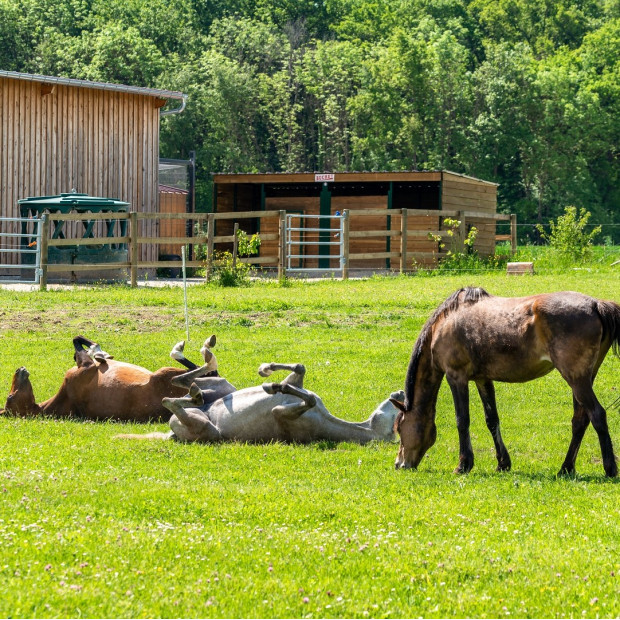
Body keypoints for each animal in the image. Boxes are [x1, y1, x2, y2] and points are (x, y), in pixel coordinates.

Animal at [118, 364, 404, 446]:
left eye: (396, 423)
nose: (401, 392)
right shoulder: (298, 383)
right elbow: (299, 370)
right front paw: (269, 375)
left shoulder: (282, 413)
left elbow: (306, 397)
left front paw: (275, 386)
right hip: (223, 387)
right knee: (183, 379)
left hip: (206, 429)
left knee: (171, 401)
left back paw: (194, 396)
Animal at [392, 288, 620, 478]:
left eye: (400, 428)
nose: (399, 464)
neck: (446, 323)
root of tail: (596, 304)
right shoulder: (483, 379)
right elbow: (491, 419)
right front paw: (503, 463)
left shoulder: (456, 377)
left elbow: (462, 420)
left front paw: (463, 465)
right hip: (583, 379)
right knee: (580, 420)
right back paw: (565, 468)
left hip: (576, 378)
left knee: (597, 414)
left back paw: (609, 469)